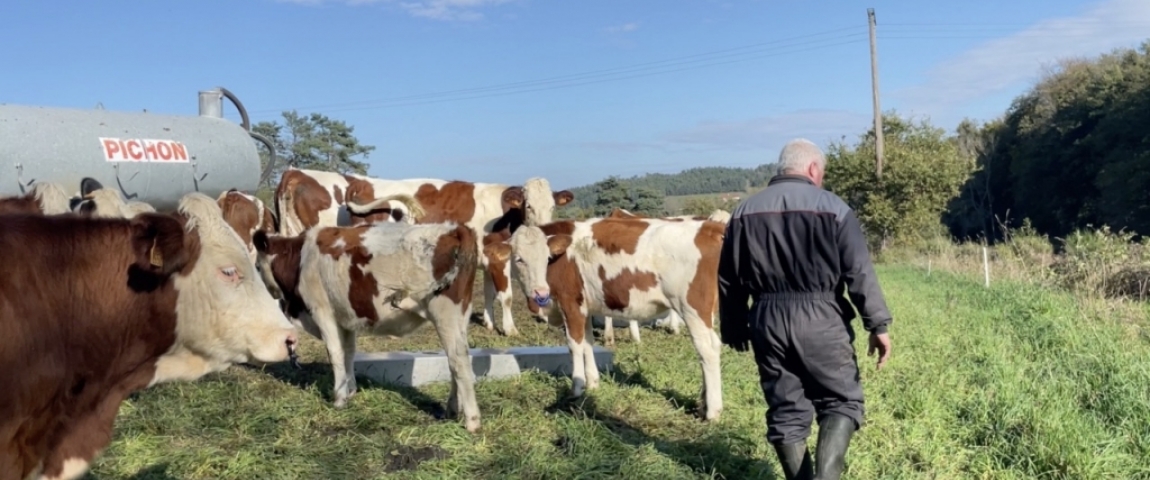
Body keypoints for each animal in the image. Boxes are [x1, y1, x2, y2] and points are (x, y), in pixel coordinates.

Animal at [251, 221, 483, 432]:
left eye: (256, 266)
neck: (300, 258)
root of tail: (455, 228)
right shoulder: (345, 318)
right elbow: (348, 353)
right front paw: (350, 390)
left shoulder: (322, 311)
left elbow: (335, 353)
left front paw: (339, 399)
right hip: (462, 316)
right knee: (455, 362)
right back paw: (451, 410)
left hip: (446, 315)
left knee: (459, 361)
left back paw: (472, 421)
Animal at [344, 176, 575, 337]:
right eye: (529, 205)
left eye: (552, 206)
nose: (546, 227)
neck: (507, 215)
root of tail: (363, 182)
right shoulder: (499, 260)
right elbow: (506, 296)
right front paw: (510, 329)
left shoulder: (488, 259)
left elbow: (489, 293)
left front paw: (489, 323)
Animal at [487, 217, 726, 421]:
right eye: (519, 259)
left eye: (546, 258)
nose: (540, 292)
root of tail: (710, 227)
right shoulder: (586, 307)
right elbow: (588, 343)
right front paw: (592, 382)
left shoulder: (570, 303)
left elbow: (574, 345)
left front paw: (576, 387)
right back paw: (702, 404)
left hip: (692, 308)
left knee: (707, 350)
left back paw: (713, 411)